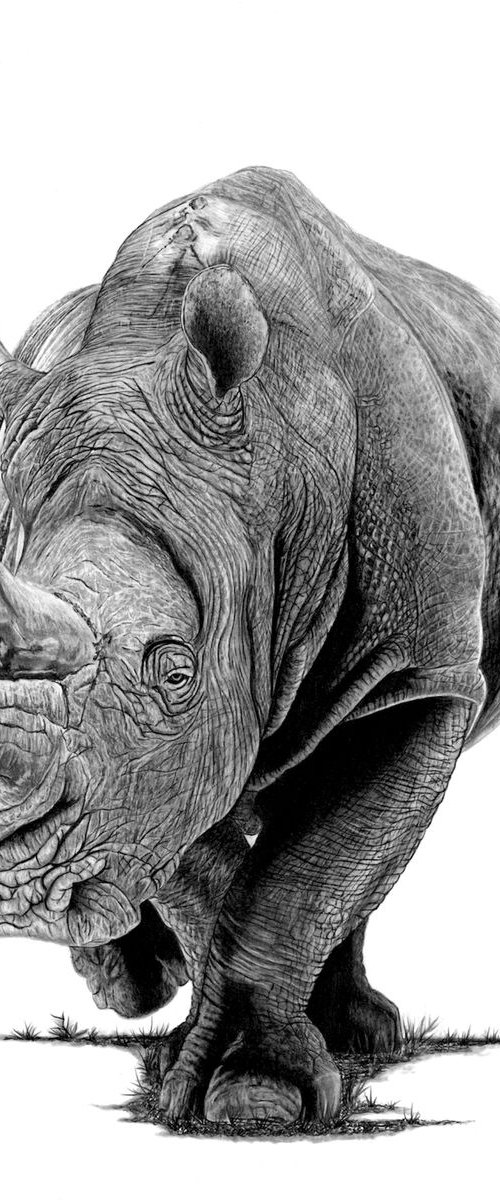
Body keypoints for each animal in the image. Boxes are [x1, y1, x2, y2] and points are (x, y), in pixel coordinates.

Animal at [0, 166, 497, 1126]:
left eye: (174, 669)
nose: (18, 884)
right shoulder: (154, 774)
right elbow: (212, 873)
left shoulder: (423, 669)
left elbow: (305, 875)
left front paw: (260, 1103)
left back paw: (359, 1037)